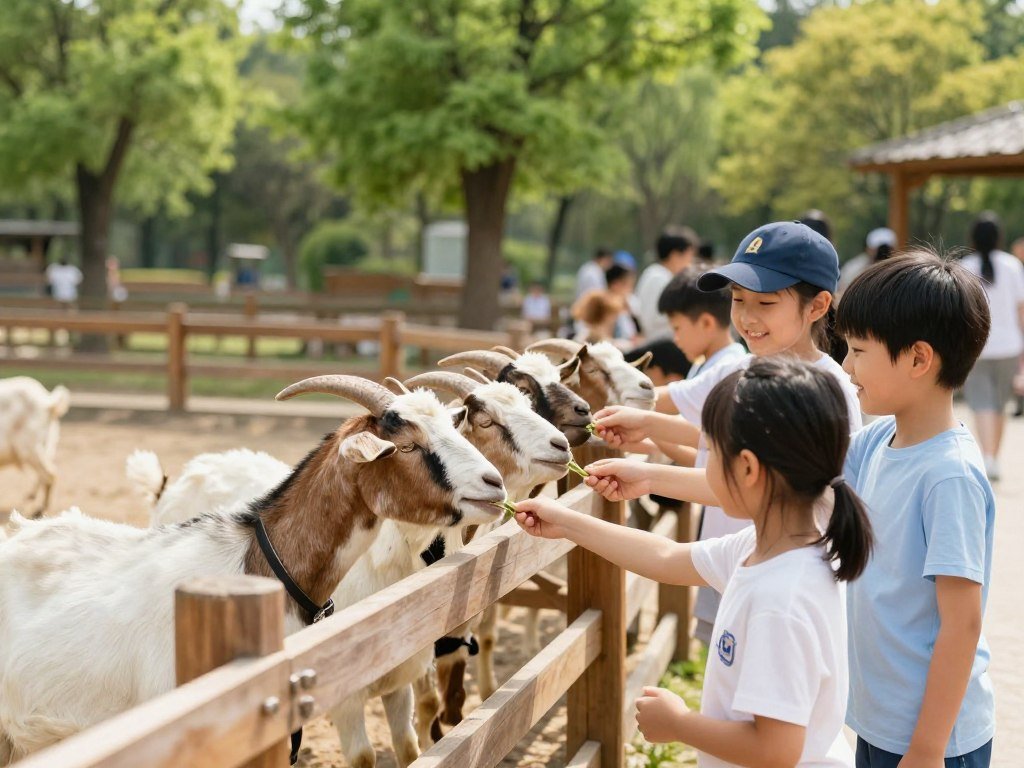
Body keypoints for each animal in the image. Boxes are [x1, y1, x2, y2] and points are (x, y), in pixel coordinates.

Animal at [0, 377, 70, 518]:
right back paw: (30, 496)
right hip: (47, 445)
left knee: (50, 474)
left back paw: (39, 511)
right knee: (43, 473)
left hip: (30, 447)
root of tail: (48, 403)